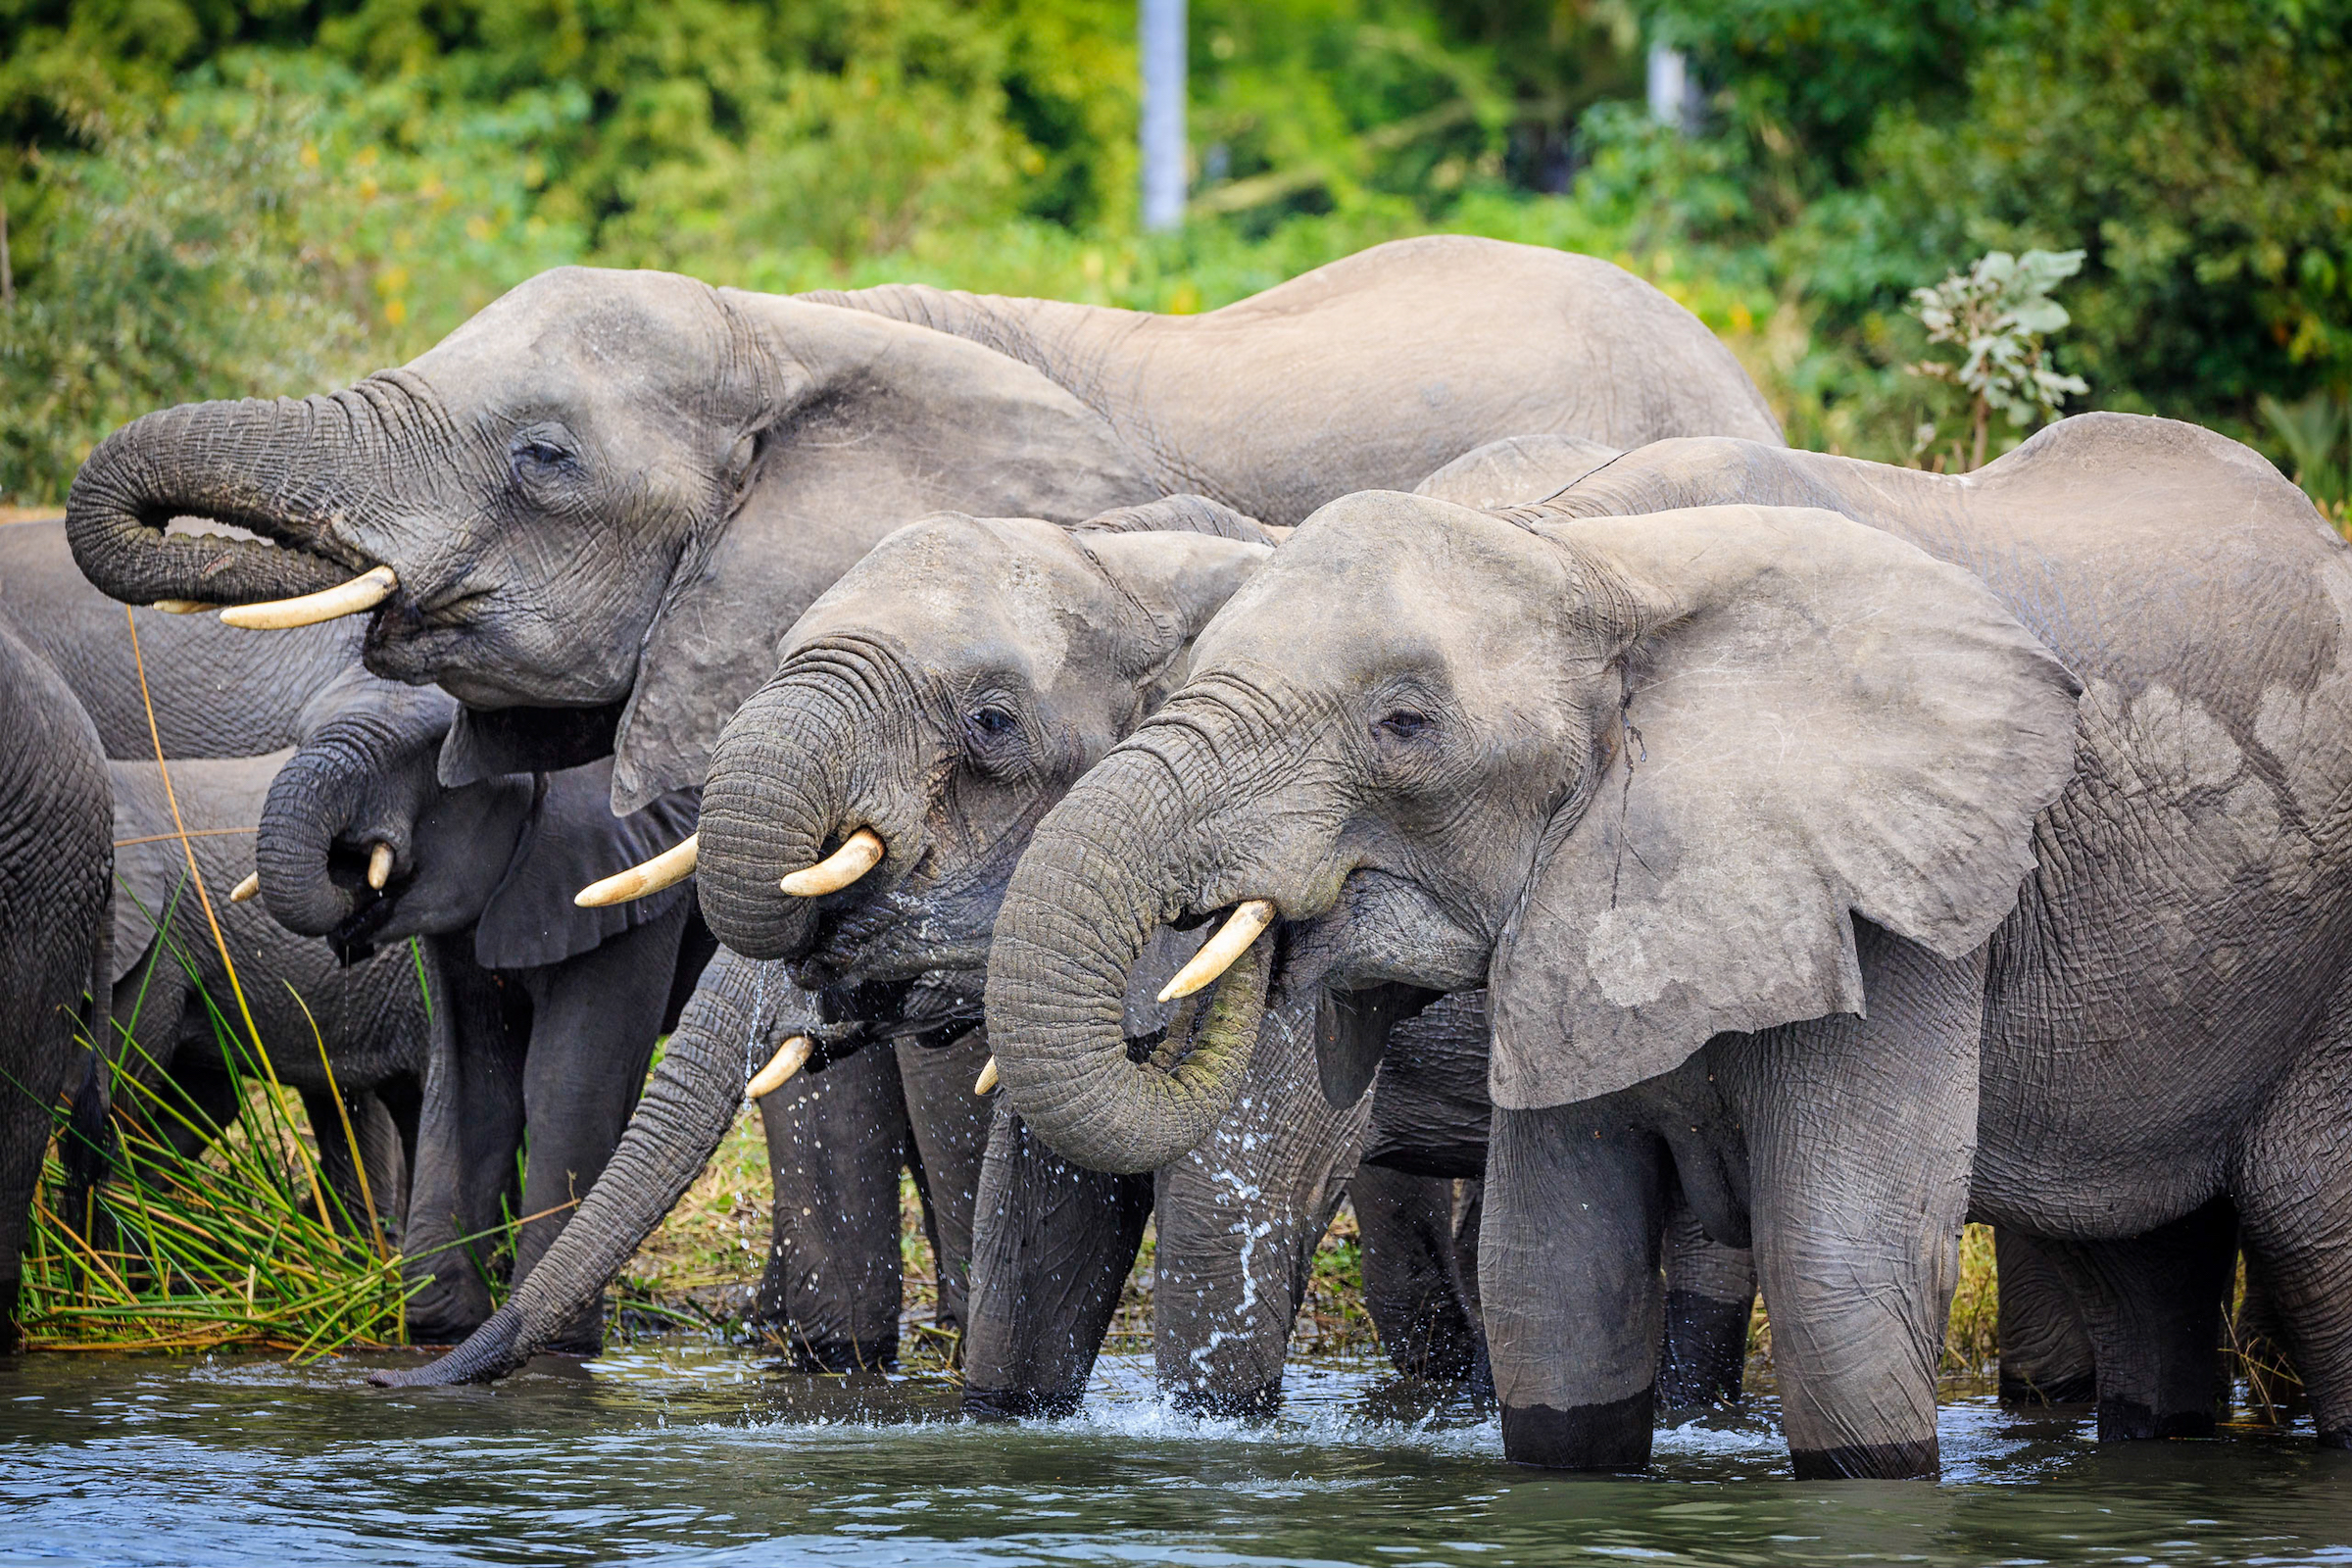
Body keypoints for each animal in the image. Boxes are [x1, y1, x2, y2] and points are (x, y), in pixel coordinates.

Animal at [984, 412, 2352, 1478]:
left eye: (1405, 724)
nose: (1233, 928)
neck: (1592, 561)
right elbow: (1553, 1284)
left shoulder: (1893, 900)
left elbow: (1840, 1280)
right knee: (2143, 1262)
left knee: (2310, 1231)